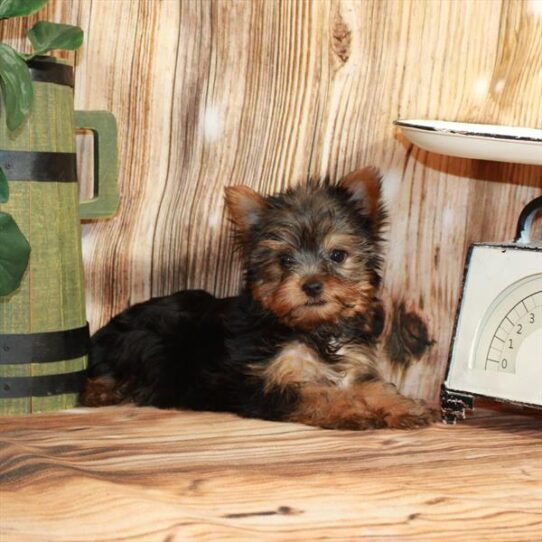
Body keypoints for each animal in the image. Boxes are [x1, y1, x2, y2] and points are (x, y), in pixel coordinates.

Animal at [81, 168, 438, 432]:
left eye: (337, 255)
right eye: (285, 260)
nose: (312, 286)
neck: (311, 329)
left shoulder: (352, 364)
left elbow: (372, 386)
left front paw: (404, 406)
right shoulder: (261, 382)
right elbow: (315, 394)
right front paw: (351, 411)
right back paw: (105, 389)